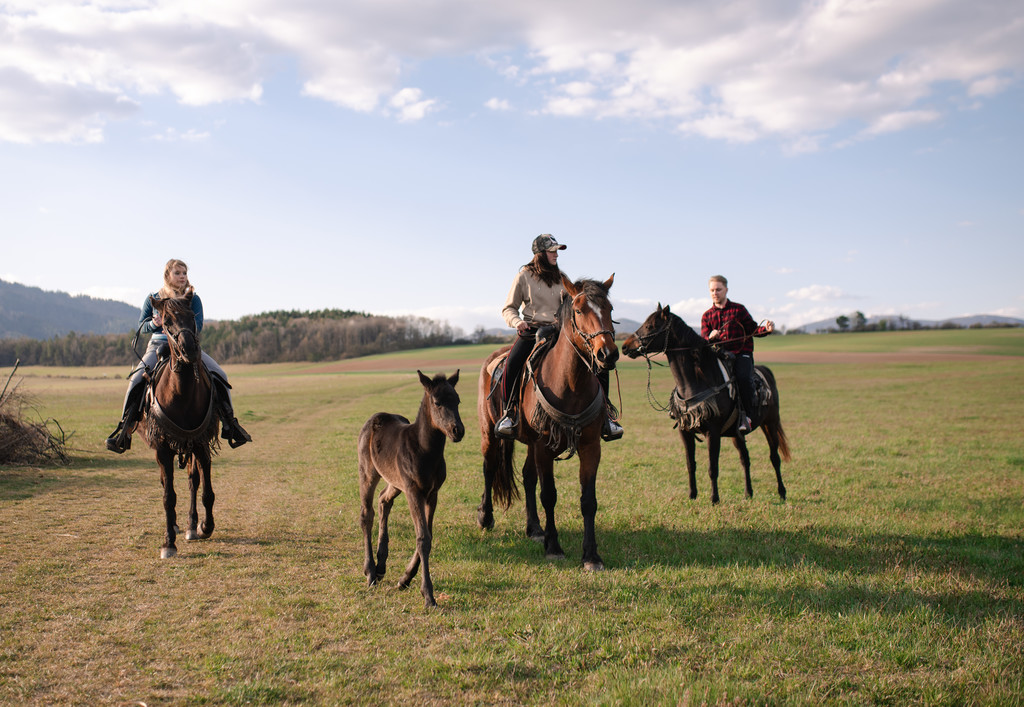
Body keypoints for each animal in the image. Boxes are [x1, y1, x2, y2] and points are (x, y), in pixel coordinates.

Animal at [138, 286, 220, 557]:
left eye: (193, 316)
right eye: (165, 322)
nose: (189, 350)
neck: (181, 394)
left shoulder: (201, 444)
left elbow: (205, 491)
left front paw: (205, 526)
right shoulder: (162, 449)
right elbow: (168, 496)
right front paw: (168, 542)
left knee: (193, 481)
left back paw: (192, 526)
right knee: (168, 483)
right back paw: (175, 525)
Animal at [354, 368, 462, 606]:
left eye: (458, 401)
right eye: (437, 402)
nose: (457, 430)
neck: (425, 450)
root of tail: (375, 416)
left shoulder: (432, 494)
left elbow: (428, 535)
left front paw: (405, 579)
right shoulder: (414, 491)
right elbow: (423, 538)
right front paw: (428, 594)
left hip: (395, 482)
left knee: (384, 500)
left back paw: (381, 564)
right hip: (368, 472)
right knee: (367, 513)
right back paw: (370, 572)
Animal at [477, 272, 614, 569]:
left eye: (609, 309)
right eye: (579, 310)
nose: (607, 354)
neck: (570, 383)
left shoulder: (590, 446)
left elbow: (588, 500)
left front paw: (591, 556)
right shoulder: (544, 447)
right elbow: (549, 495)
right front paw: (554, 547)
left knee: (528, 477)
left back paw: (535, 529)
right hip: (489, 433)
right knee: (489, 468)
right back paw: (485, 517)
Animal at [614, 305, 790, 504]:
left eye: (650, 326)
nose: (625, 346)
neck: (698, 381)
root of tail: (766, 372)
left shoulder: (712, 432)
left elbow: (713, 467)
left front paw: (714, 499)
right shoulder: (685, 431)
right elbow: (690, 464)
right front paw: (692, 495)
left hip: (770, 423)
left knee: (774, 457)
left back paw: (782, 492)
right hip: (737, 433)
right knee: (745, 459)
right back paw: (748, 493)